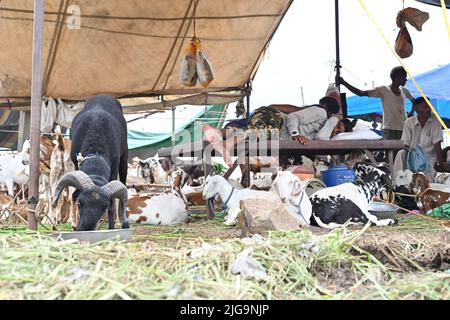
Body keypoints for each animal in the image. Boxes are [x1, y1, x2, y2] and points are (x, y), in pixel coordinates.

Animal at [53, 95, 130, 230]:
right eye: (80, 203)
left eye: (104, 207)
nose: (85, 228)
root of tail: (103, 95)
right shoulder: (75, 163)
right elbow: (72, 196)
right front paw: (74, 224)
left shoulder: (115, 167)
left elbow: (112, 206)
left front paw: (111, 225)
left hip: (124, 159)